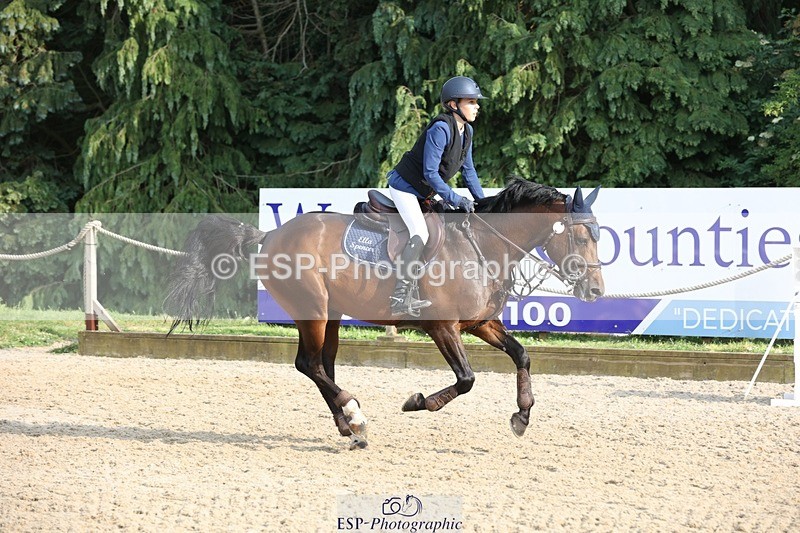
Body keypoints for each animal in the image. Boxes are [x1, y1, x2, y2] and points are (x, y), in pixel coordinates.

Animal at [165, 177, 604, 449]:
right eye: (582, 237)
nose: (596, 291)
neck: (483, 245)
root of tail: (270, 234)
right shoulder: (443, 327)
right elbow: (466, 379)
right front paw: (418, 402)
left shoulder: (480, 323)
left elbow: (521, 355)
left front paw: (522, 416)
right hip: (312, 310)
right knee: (309, 364)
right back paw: (355, 415)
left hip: (332, 314)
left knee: (322, 365)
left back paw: (350, 427)